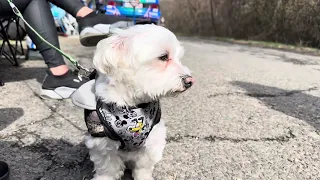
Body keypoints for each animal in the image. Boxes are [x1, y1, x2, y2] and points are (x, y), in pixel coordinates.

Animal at [78, 24, 194, 180]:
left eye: (179, 58)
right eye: (163, 57)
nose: (190, 81)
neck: (131, 104)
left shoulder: (152, 140)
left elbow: (143, 166)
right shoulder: (101, 141)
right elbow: (107, 168)